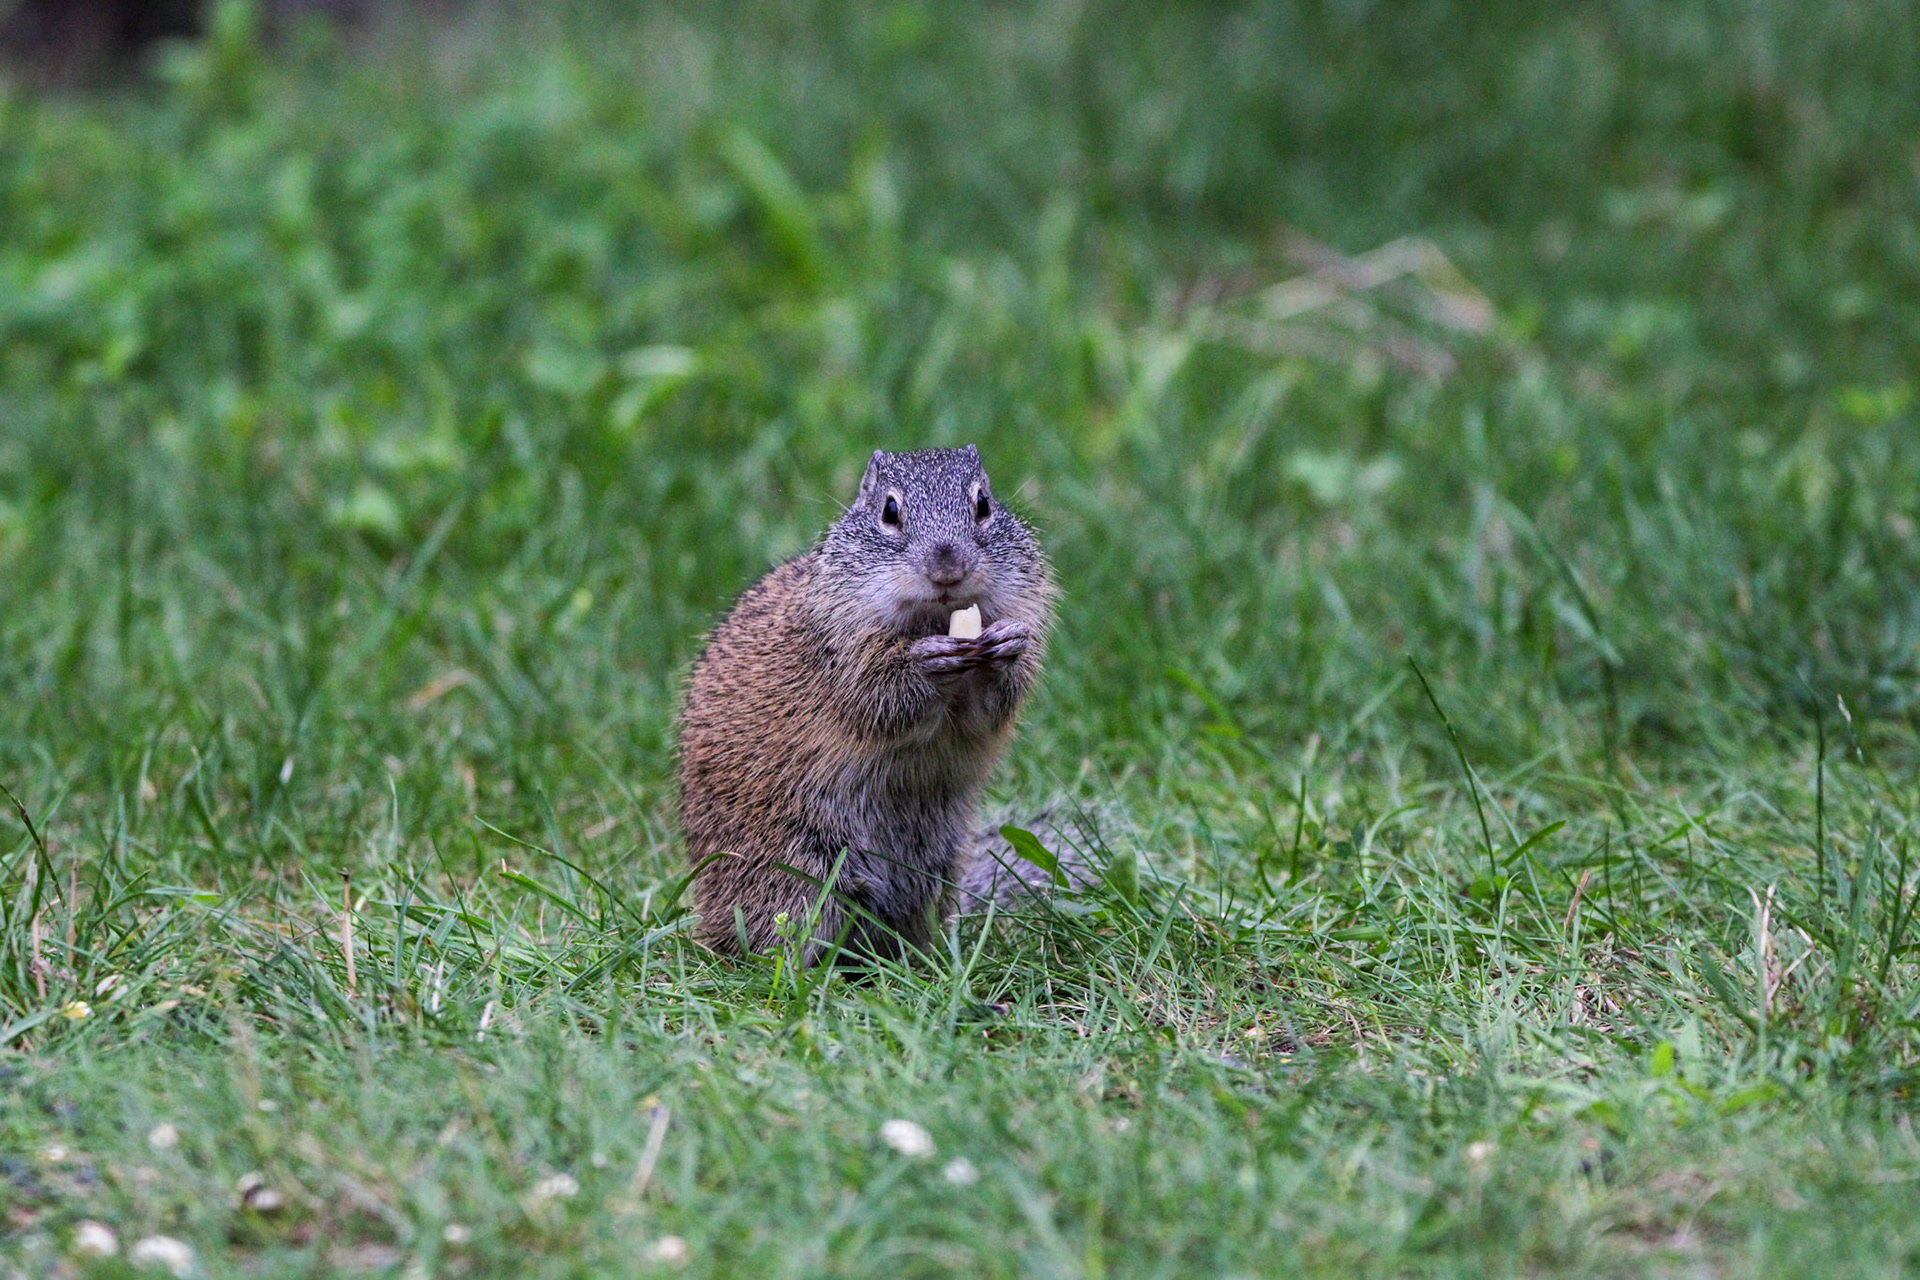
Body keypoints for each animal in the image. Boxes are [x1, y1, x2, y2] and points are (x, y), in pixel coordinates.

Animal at [675, 445, 1064, 962]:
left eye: (983, 504)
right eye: (890, 511)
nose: (948, 568)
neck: (933, 620)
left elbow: (989, 708)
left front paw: (1007, 645)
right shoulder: (843, 657)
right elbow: (882, 697)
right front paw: (926, 662)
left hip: (935, 869)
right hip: (797, 876)